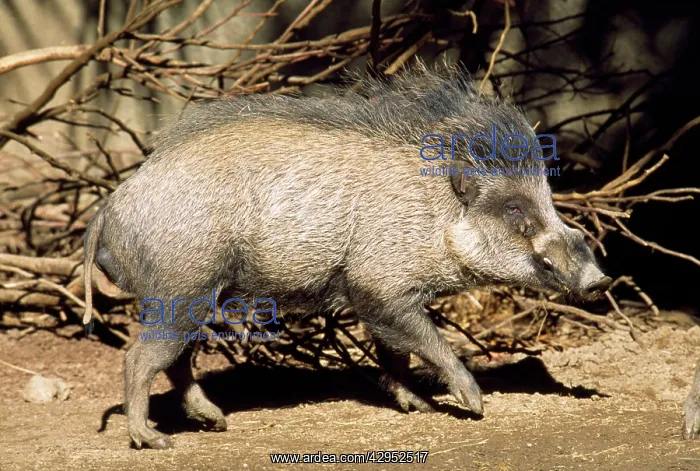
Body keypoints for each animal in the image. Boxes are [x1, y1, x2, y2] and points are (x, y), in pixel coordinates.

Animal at [82, 61, 613, 449]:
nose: (600, 280)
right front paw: (475, 404)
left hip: (192, 297)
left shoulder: (384, 297)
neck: (435, 213)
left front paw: (418, 406)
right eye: (514, 208)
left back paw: (216, 423)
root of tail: (111, 205)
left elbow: (396, 353)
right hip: (180, 290)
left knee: (175, 362)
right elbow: (426, 340)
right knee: (140, 359)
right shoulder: (377, 285)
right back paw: (153, 440)